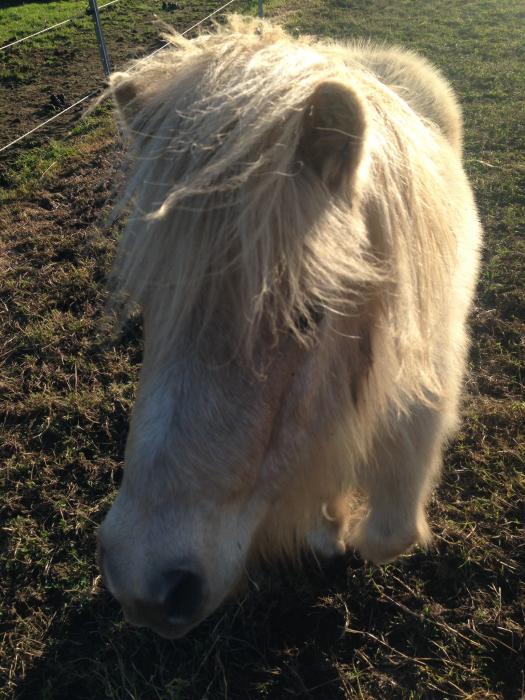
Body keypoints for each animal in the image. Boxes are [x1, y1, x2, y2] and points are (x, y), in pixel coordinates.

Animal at [97, 15, 482, 639]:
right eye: (153, 303)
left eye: (308, 313)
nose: (146, 585)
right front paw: (329, 529)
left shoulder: (417, 417)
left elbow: (386, 535)